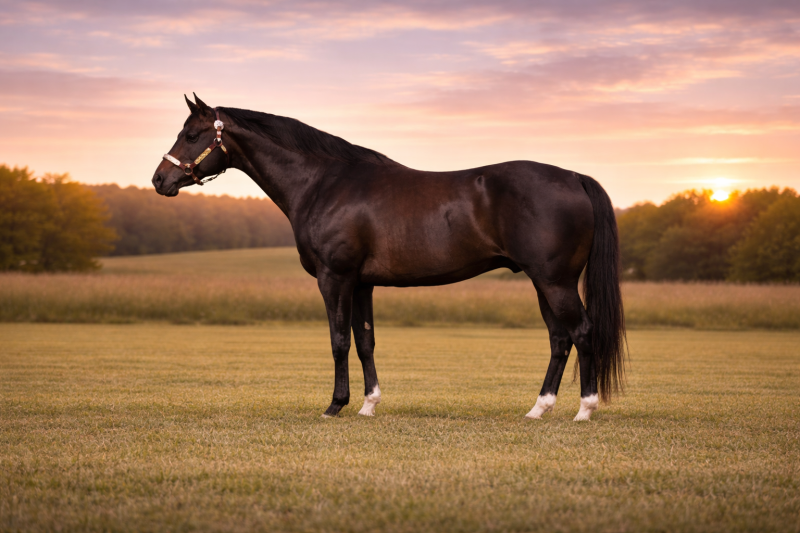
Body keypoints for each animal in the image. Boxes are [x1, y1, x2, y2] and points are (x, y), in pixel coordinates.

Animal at [152, 94, 626, 421]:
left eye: (191, 135)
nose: (160, 180)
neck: (323, 183)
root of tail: (574, 177)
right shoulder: (362, 283)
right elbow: (365, 341)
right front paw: (368, 405)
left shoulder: (335, 277)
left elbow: (339, 340)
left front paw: (335, 405)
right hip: (542, 281)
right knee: (559, 339)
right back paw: (538, 409)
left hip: (555, 281)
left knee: (581, 332)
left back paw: (584, 410)